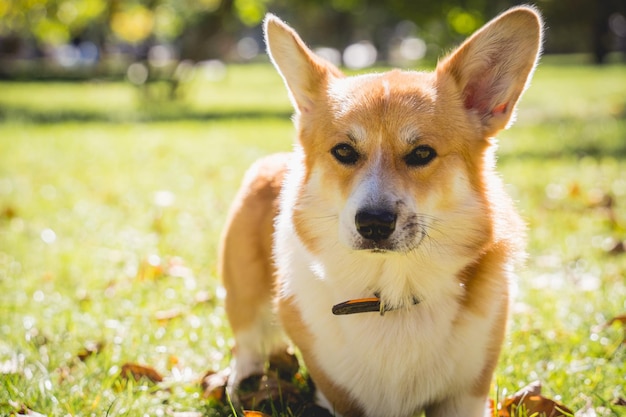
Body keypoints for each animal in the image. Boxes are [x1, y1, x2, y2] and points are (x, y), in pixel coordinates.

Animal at [219, 6, 540, 416]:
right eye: (343, 151)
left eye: (422, 153)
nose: (373, 224)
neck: (394, 292)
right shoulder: (341, 397)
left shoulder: (465, 397)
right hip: (242, 295)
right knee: (246, 342)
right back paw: (240, 386)